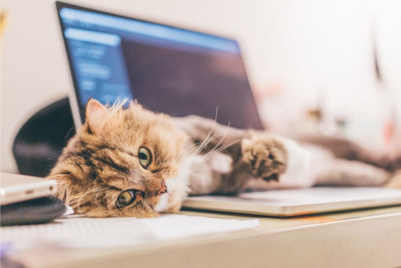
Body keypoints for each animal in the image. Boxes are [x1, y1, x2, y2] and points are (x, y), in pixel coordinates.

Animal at [47, 98, 310, 218]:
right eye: (125, 198)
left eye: (144, 156)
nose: (162, 188)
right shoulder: (229, 184)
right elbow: (241, 168)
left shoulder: (196, 125)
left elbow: (235, 137)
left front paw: (287, 155)